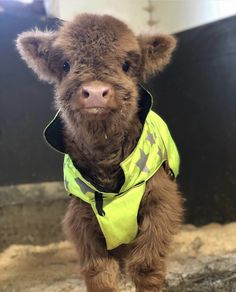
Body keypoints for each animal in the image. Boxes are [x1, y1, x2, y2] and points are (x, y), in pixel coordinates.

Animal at [15, 13, 183, 292]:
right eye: (65, 65)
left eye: (126, 65)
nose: (95, 92)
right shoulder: (82, 219)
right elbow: (99, 272)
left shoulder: (161, 202)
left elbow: (146, 265)